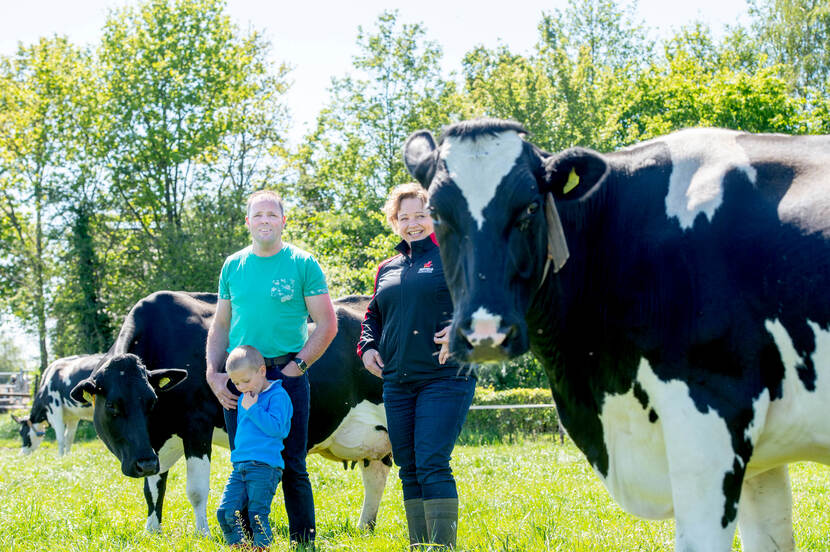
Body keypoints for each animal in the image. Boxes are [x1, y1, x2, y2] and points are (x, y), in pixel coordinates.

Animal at [70, 292, 392, 536]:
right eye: (113, 405)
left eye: (150, 400)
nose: (143, 462)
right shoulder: (154, 443)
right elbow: (153, 489)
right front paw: (152, 533)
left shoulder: (195, 424)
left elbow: (196, 488)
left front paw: (202, 534)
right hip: (375, 440)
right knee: (375, 476)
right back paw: (364, 528)